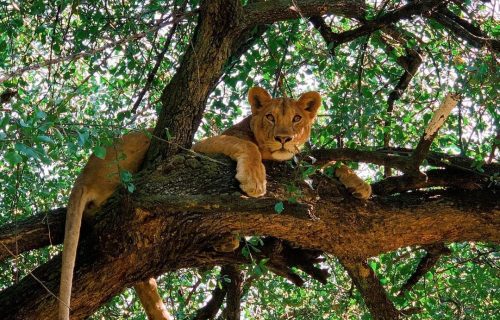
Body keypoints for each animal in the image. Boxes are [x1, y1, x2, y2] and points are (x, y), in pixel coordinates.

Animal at [59, 86, 372, 320]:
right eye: (270, 117)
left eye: (296, 118)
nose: (284, 138)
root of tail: (83, 176)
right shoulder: (203, 146)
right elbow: (247, 146)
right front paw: (255, 180)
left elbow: (328, 164)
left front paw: (359, 184)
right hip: (143, 138)